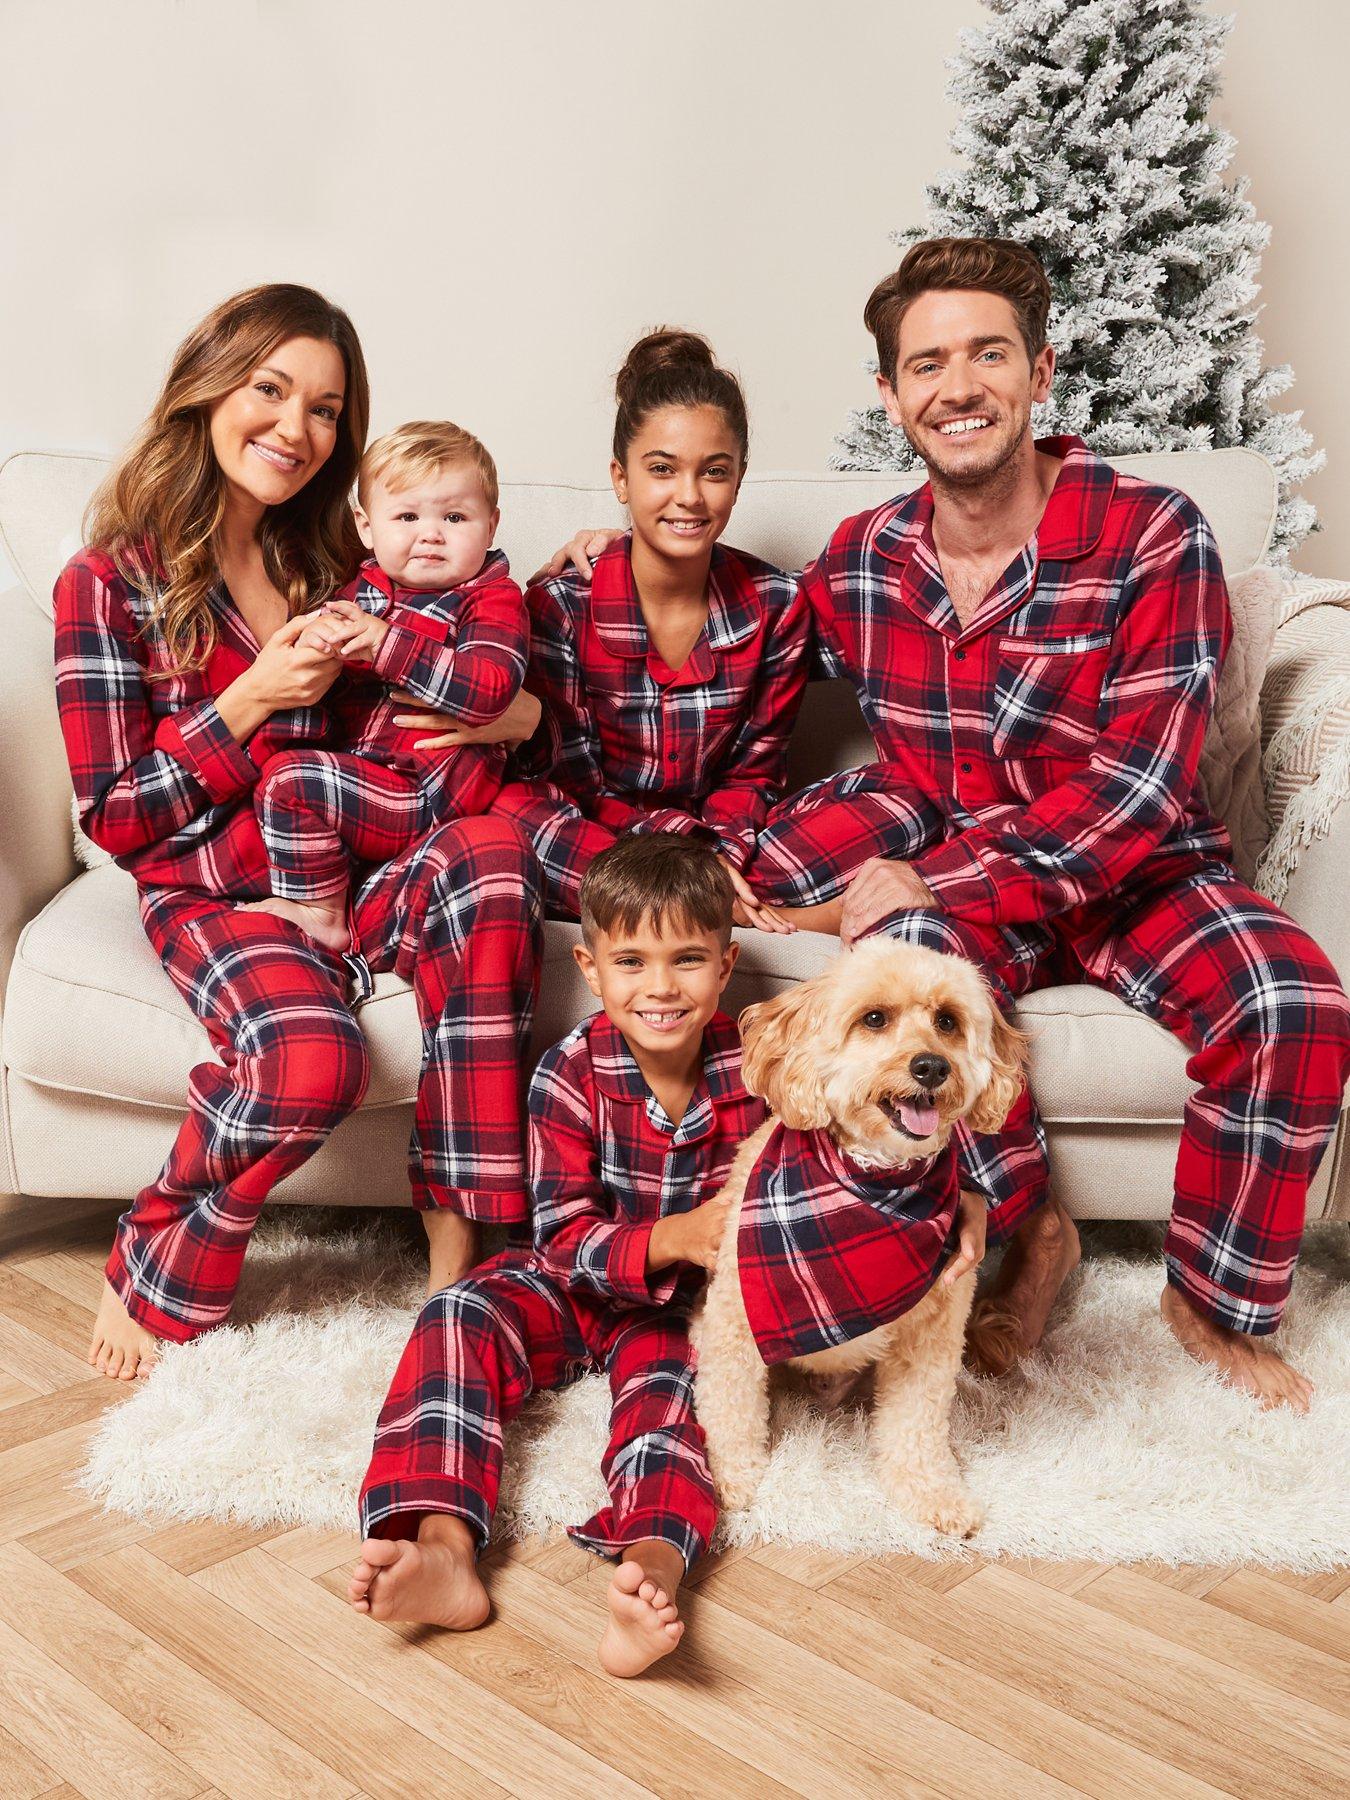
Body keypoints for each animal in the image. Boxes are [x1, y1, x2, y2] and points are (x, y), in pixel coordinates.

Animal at [698, 936, 1022, 1540]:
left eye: (947, 1021)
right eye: (874, 1019)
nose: (931, 1066)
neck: (876, 1186)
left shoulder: (932, 1337)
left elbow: (917, 1424)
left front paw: (932, 1493)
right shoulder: (736, 1321)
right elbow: (730, 1407)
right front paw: (732, 1480)